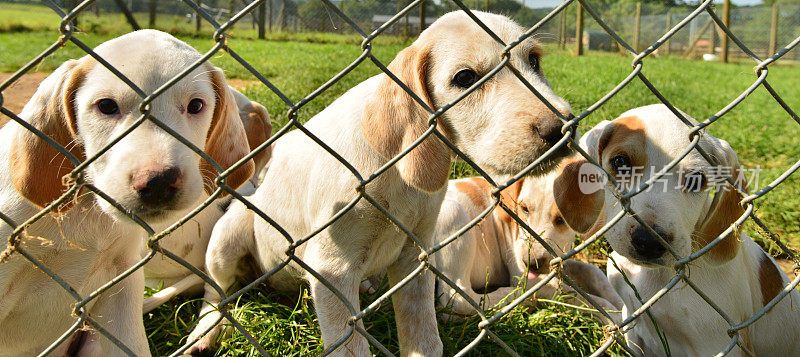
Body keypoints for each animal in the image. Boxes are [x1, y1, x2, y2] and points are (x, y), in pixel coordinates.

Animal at [188, 10, 572, 356]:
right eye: (465, 78)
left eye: (534, 60)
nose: (563, 129)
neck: (397, 182)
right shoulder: (332, 270)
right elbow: (351, 347)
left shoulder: (416, 257)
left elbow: (424, 339)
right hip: (226, 237)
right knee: (216, 292)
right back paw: (204, 332)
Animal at [434, 160, 620, 318]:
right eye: (524, 209)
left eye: (561, 220)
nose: (531, 263)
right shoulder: (524, 274)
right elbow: (576, 295)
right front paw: (613, 316)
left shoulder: (557, 260)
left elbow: (591, 271)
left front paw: (620, 304)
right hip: (453, 212)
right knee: (458, 301)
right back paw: (517, 298)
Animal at [564, 103, 800, 354]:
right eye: (620, 162)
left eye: (697, 180)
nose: (649, 242)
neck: (657, 277)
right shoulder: (634, 330)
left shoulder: (719, 345)